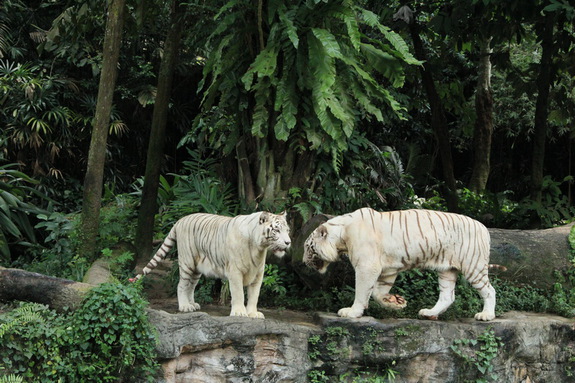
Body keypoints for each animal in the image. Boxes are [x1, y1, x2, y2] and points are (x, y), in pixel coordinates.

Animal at [132, 212, 292, 320]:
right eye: (277, 230)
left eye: (287, 230)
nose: (288, 242)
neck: (258, 248)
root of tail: (180, 220)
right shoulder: (235, 272)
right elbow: (238, 293)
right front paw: (240, 313)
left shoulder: (258, 273)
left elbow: (254, 295)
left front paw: (253, 313)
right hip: (187, 262)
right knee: (181, 285)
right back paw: (184, 307)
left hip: (196, 269)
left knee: (191, 286)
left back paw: (193, 305)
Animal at [302, 208, 504, 322]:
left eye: (307, 247)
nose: (303, 261)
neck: (341, 236)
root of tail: (484, 228)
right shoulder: (387, 271)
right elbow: (376, 293)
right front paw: (395, 302)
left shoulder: (367, 266)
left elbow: (362, 291)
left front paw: (352, 312)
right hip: (447, 270)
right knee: (448, 296)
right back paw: (429, 313)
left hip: (473, 266)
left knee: (490, 290)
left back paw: (486, 315)